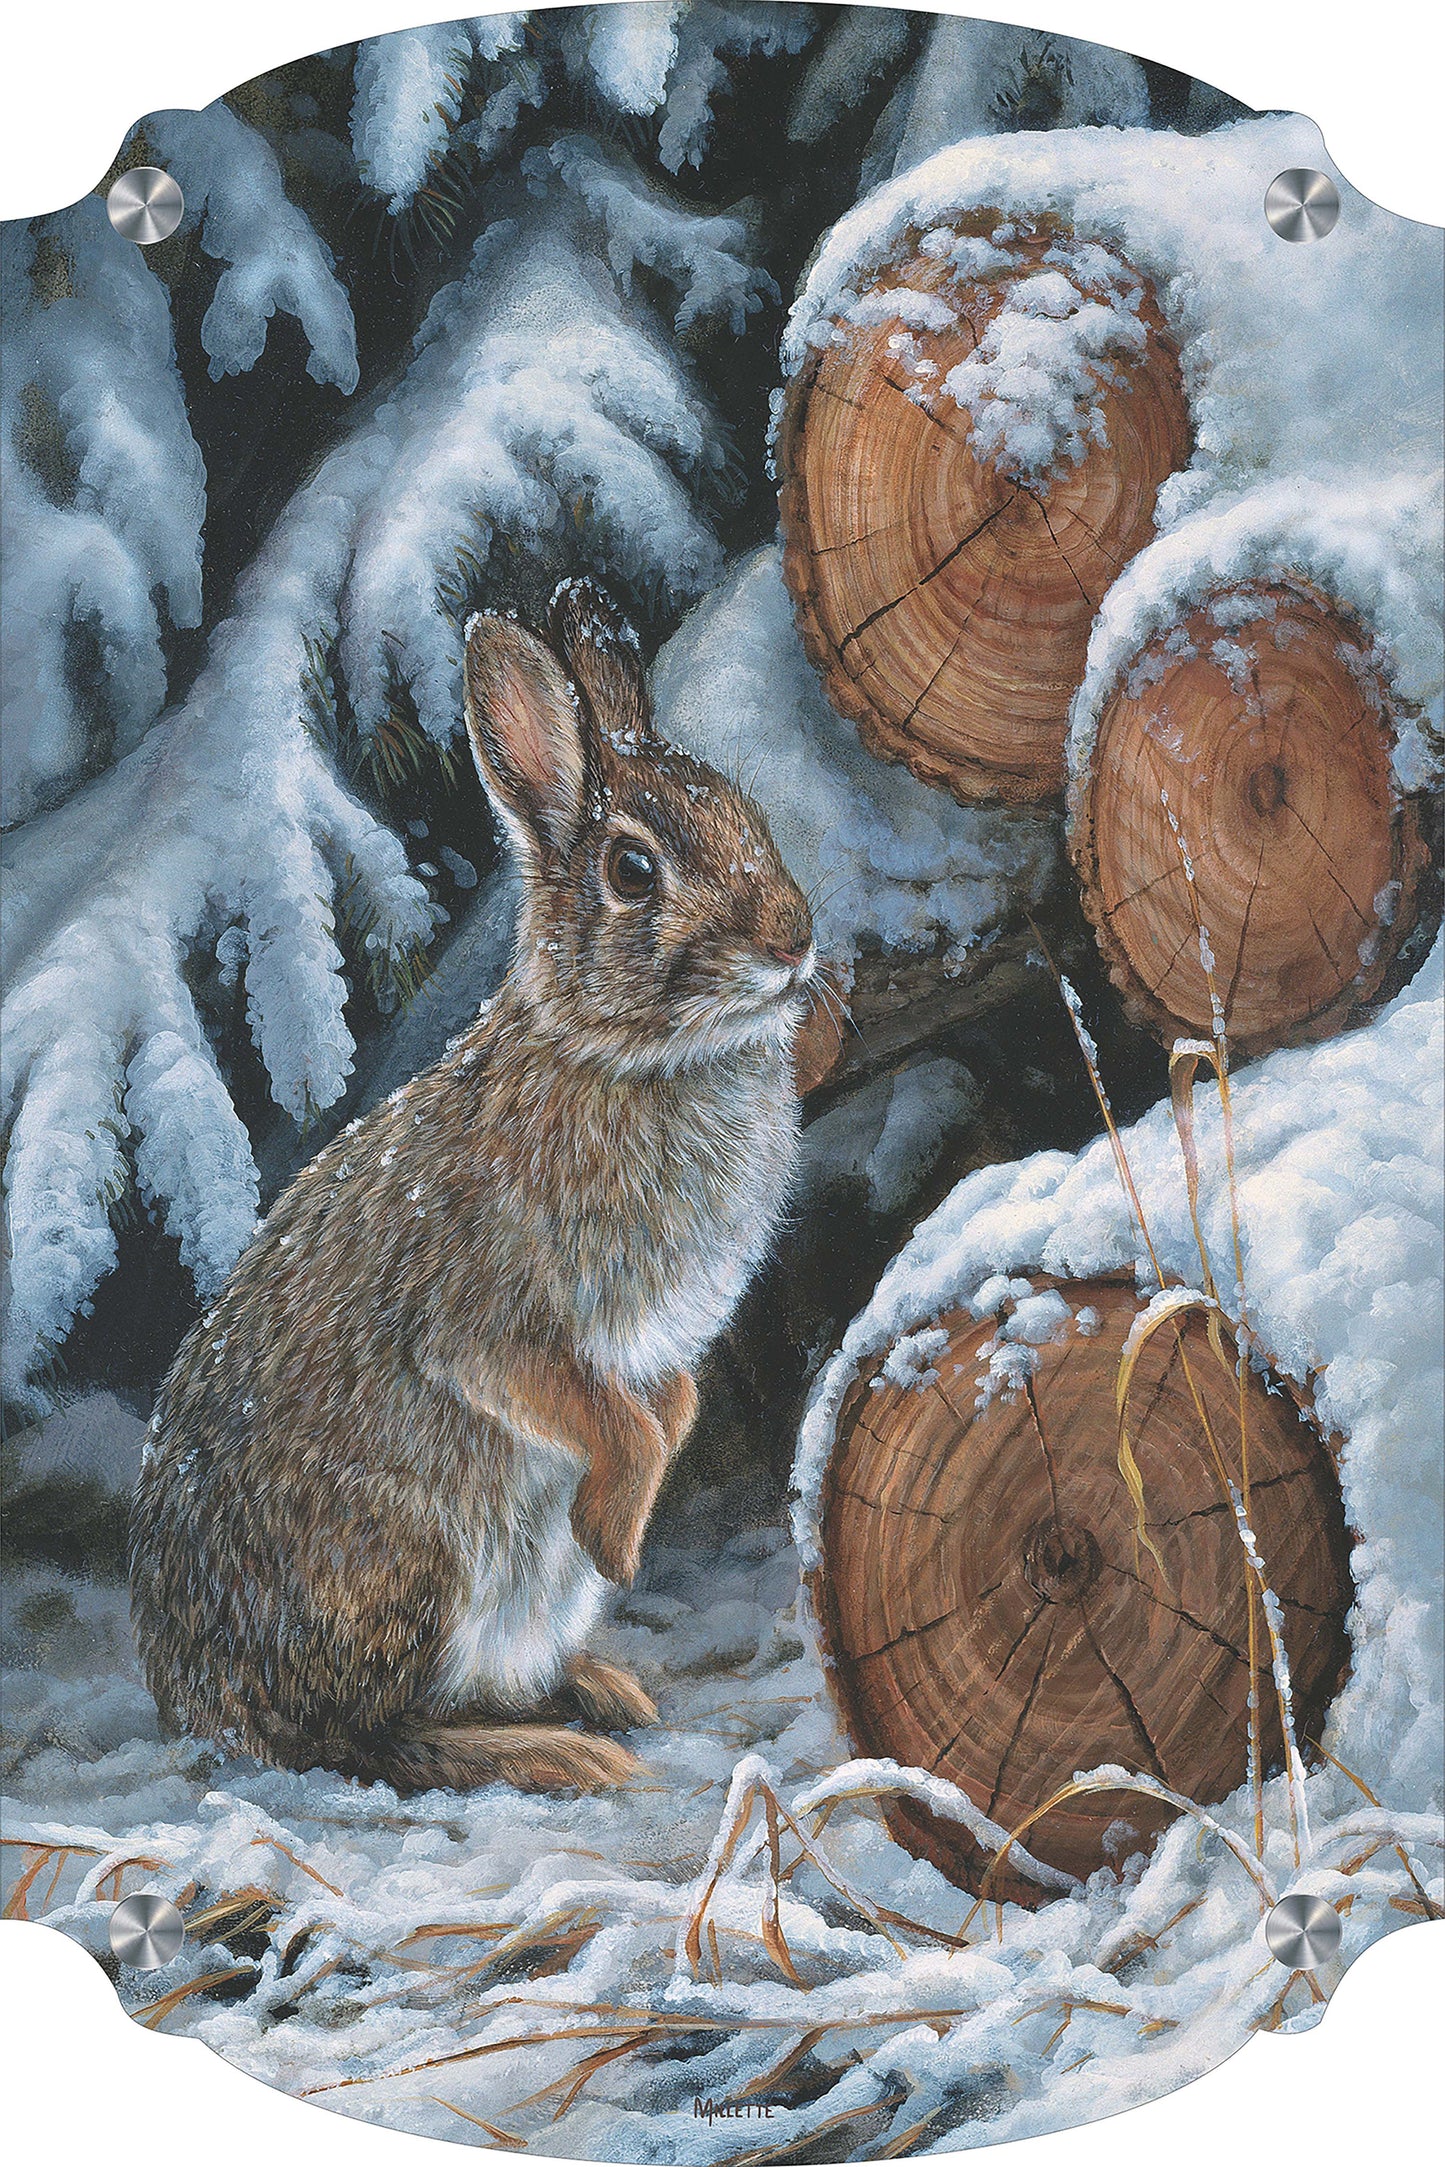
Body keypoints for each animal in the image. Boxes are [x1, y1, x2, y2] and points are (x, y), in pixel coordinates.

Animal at [129, 580, 816, 1795]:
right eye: (633, 871)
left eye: (751, 815)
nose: (796, 938)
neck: (618, 1053)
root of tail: (197, 1699)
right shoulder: (489, 1327)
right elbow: (609, 1418)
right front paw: (616, 1539)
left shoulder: (658, 1344)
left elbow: (673, 1405)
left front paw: (620, 1528)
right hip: (408, 1564)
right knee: (360, 1739)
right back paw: (564, 1749)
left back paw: (599, 1690)